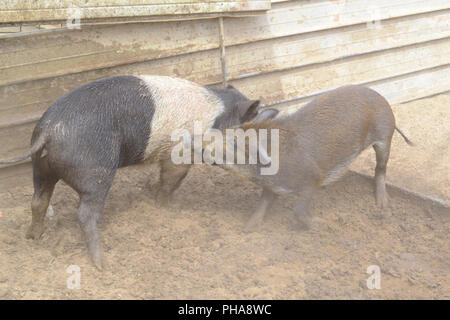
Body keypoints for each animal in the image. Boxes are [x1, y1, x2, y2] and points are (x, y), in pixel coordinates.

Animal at [0, 75, 260, 268]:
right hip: (96, 173)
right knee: (85, 213)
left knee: (38, 201)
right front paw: (166, 206)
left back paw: (32, 237)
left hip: (40, 168)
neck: (216, 120)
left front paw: (156, 198)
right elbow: (172, 180)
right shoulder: (180, 153)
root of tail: (48, 131)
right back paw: (102, 264)